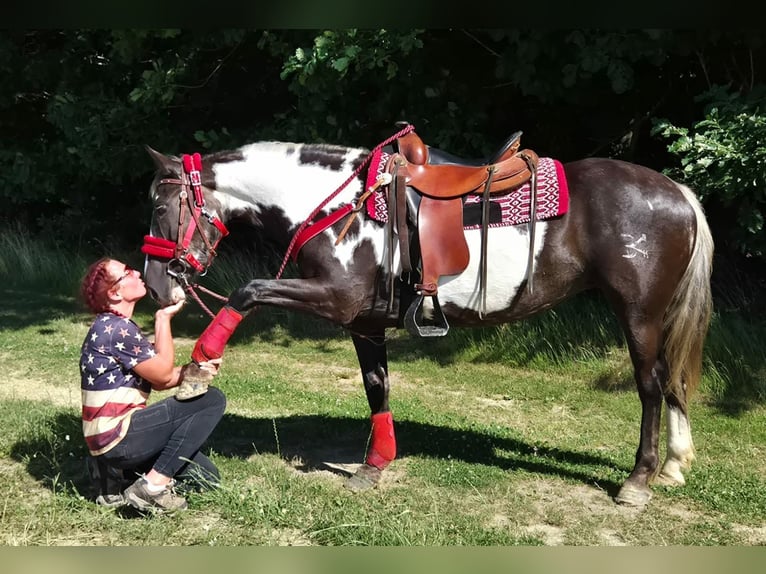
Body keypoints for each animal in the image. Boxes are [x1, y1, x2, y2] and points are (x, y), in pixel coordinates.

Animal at [140, 125, 714, 507]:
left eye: (161, 209)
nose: (154, 285)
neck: (337, 203)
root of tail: (679, 194)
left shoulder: (334, 298)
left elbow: (247, 292)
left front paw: (197, 370)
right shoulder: (364, 320)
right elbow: (377, 386)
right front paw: (374, 466)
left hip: (638, 313)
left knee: (650, 385)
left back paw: (638, 480)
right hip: (656, 316)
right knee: (672, 381)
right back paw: (673, 466)